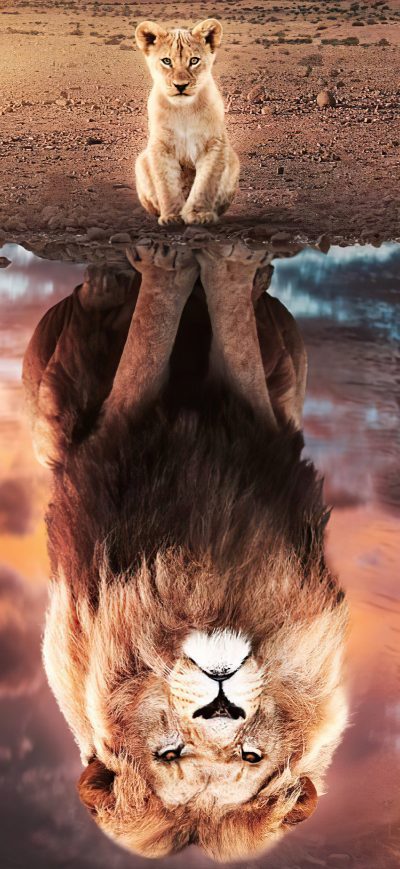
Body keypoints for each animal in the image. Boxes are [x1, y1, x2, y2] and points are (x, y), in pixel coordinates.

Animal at [22, 240, 348, 862]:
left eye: (249, 755)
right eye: (169, 753)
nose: (221, 701)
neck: (201, 585)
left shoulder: (263, 423)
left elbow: (229, 340)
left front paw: (221, 266)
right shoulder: (115, 428)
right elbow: (152, 336)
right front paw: (175, 264)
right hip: (42, 397)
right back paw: (106, 283)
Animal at [134, 19, 240, 225]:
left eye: (194, 61)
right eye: (167, 61)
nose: (180, 86)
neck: (184, 110)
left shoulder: (214, 144)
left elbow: (205, 183)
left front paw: (199, 214)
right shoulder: (160, 146)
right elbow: (166, 185)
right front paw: (172, 216)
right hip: (140, 161)